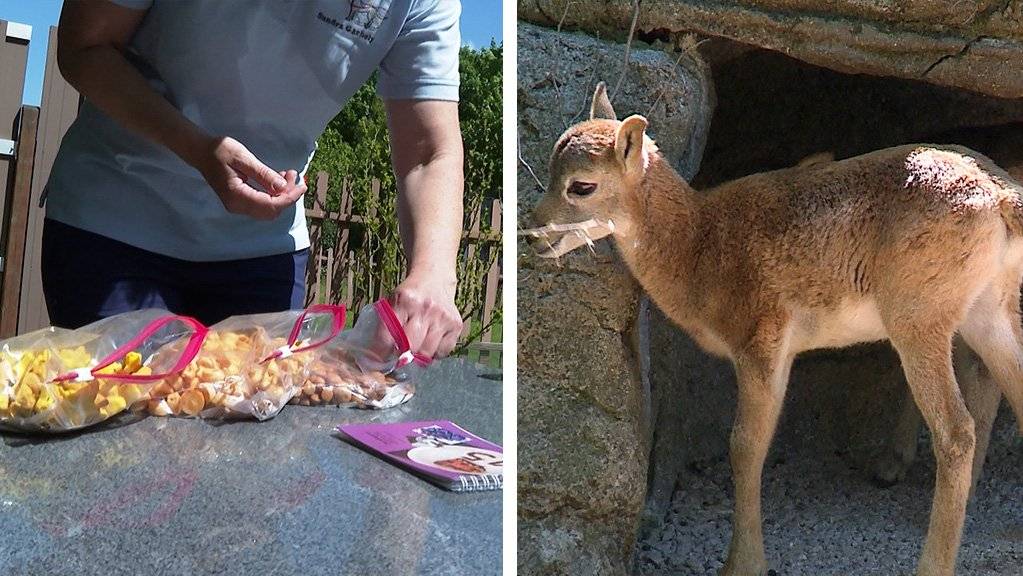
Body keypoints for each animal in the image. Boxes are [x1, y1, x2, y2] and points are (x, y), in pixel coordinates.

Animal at [527, 84, 1023, 576]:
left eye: (582, 185)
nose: (533, 234)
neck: (698, 245)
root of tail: (1000, 197)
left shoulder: (759, 341)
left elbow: (744, 446)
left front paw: (742, 563)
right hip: (988, 313)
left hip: (919, 320)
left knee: (956, 432)